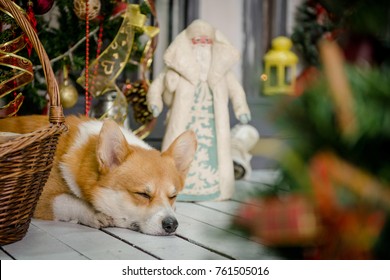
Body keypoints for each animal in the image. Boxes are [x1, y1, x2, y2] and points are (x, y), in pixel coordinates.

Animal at [0, 115, 197, 235]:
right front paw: (94, 214)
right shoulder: (41, 197)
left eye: (173, 196)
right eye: (142, 194)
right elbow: (68, 200)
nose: (172, 225)